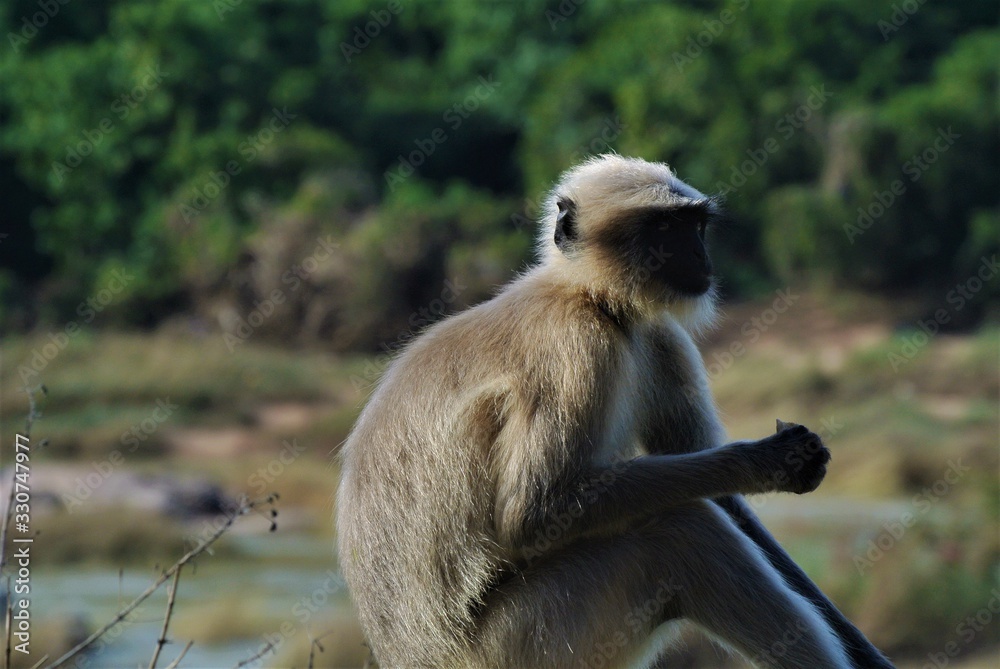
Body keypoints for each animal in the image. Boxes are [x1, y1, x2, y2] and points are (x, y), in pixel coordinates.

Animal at [336, 155, 893, 668]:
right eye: (664, 228)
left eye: (695, 227)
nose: (700, 255)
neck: (589, 294)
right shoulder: (575, 345)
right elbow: (532, 514)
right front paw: (763, 462)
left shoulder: (657, 333)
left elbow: (730, 505)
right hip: (525, 639)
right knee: (682, 530)